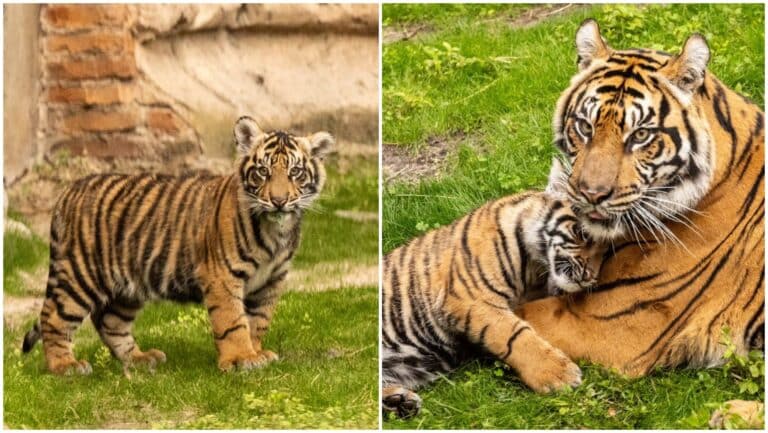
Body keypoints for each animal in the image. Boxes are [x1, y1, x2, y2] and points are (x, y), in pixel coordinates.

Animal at [21, 116, 334, 375]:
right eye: (263, 172)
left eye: (295, 172)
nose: (279, 201)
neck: (276, 231)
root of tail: (68, 191)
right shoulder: (222, 276)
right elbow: (233, 321)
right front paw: (240, 359)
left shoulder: (271, 280)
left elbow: (258, 321)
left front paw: (257, 353)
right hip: (81, 274)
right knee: (53, 318)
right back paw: (65, 366)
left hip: (127, 286)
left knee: (109, 321)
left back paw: (140, 359)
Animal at [381, 165, 607, 418]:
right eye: (583, 234)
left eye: (607, 250)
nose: (589, 277)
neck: (535, 268)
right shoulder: (472, 299)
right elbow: (514, 334)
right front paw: (559, 375)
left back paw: (400, 402)